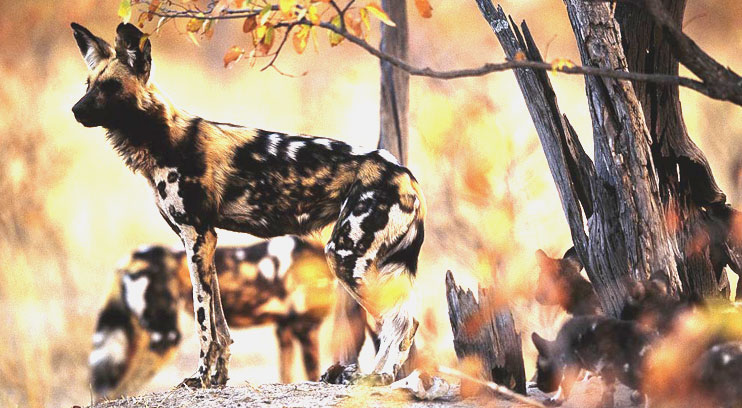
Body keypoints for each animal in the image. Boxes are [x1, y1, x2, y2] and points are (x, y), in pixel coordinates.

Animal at [89, 237, 363, 399]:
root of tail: (131, 258)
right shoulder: (306, 328)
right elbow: (311, 372)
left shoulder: (284, 329)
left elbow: (286, 375)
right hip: (165, 339)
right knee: (119, 388)